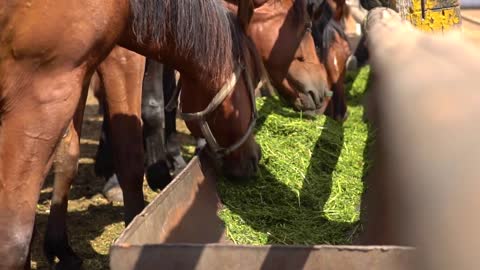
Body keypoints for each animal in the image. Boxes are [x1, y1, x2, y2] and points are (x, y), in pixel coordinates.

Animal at [0, 0, 266, 268]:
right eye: (254, 79)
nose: (256, 157)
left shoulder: (79, 74)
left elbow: (66, 159)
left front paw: (59, 247)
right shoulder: (58, 85)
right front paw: (137, 227)